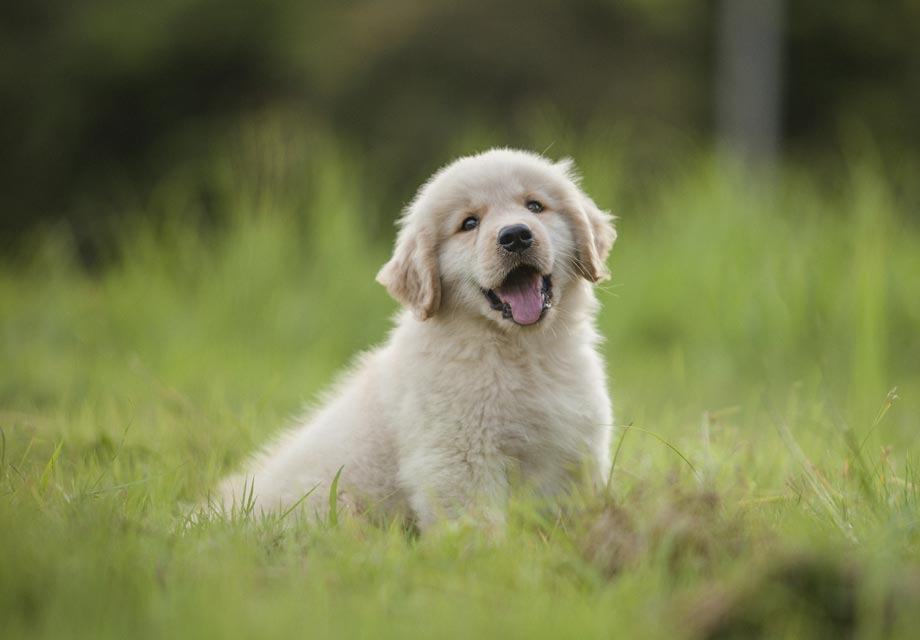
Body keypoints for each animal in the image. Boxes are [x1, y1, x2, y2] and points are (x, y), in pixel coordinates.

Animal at [217, 149, 620, 528]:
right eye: (469, 223)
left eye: (535, 205)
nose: (516, 235)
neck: (521, 349)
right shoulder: (459, 458)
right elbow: (477, 526)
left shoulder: (576, 448)